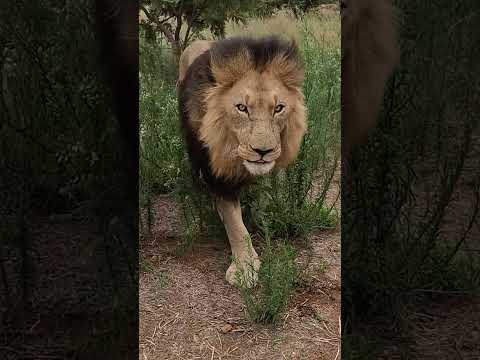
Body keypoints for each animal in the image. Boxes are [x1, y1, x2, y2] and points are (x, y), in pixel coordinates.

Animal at [177, 36, 308, 286]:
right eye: (242, 108)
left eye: (278, 108)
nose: (263, 151)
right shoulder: (218, 178)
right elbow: (235, 224)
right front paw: (244, 268)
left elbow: (265, 196)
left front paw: (264, 216)